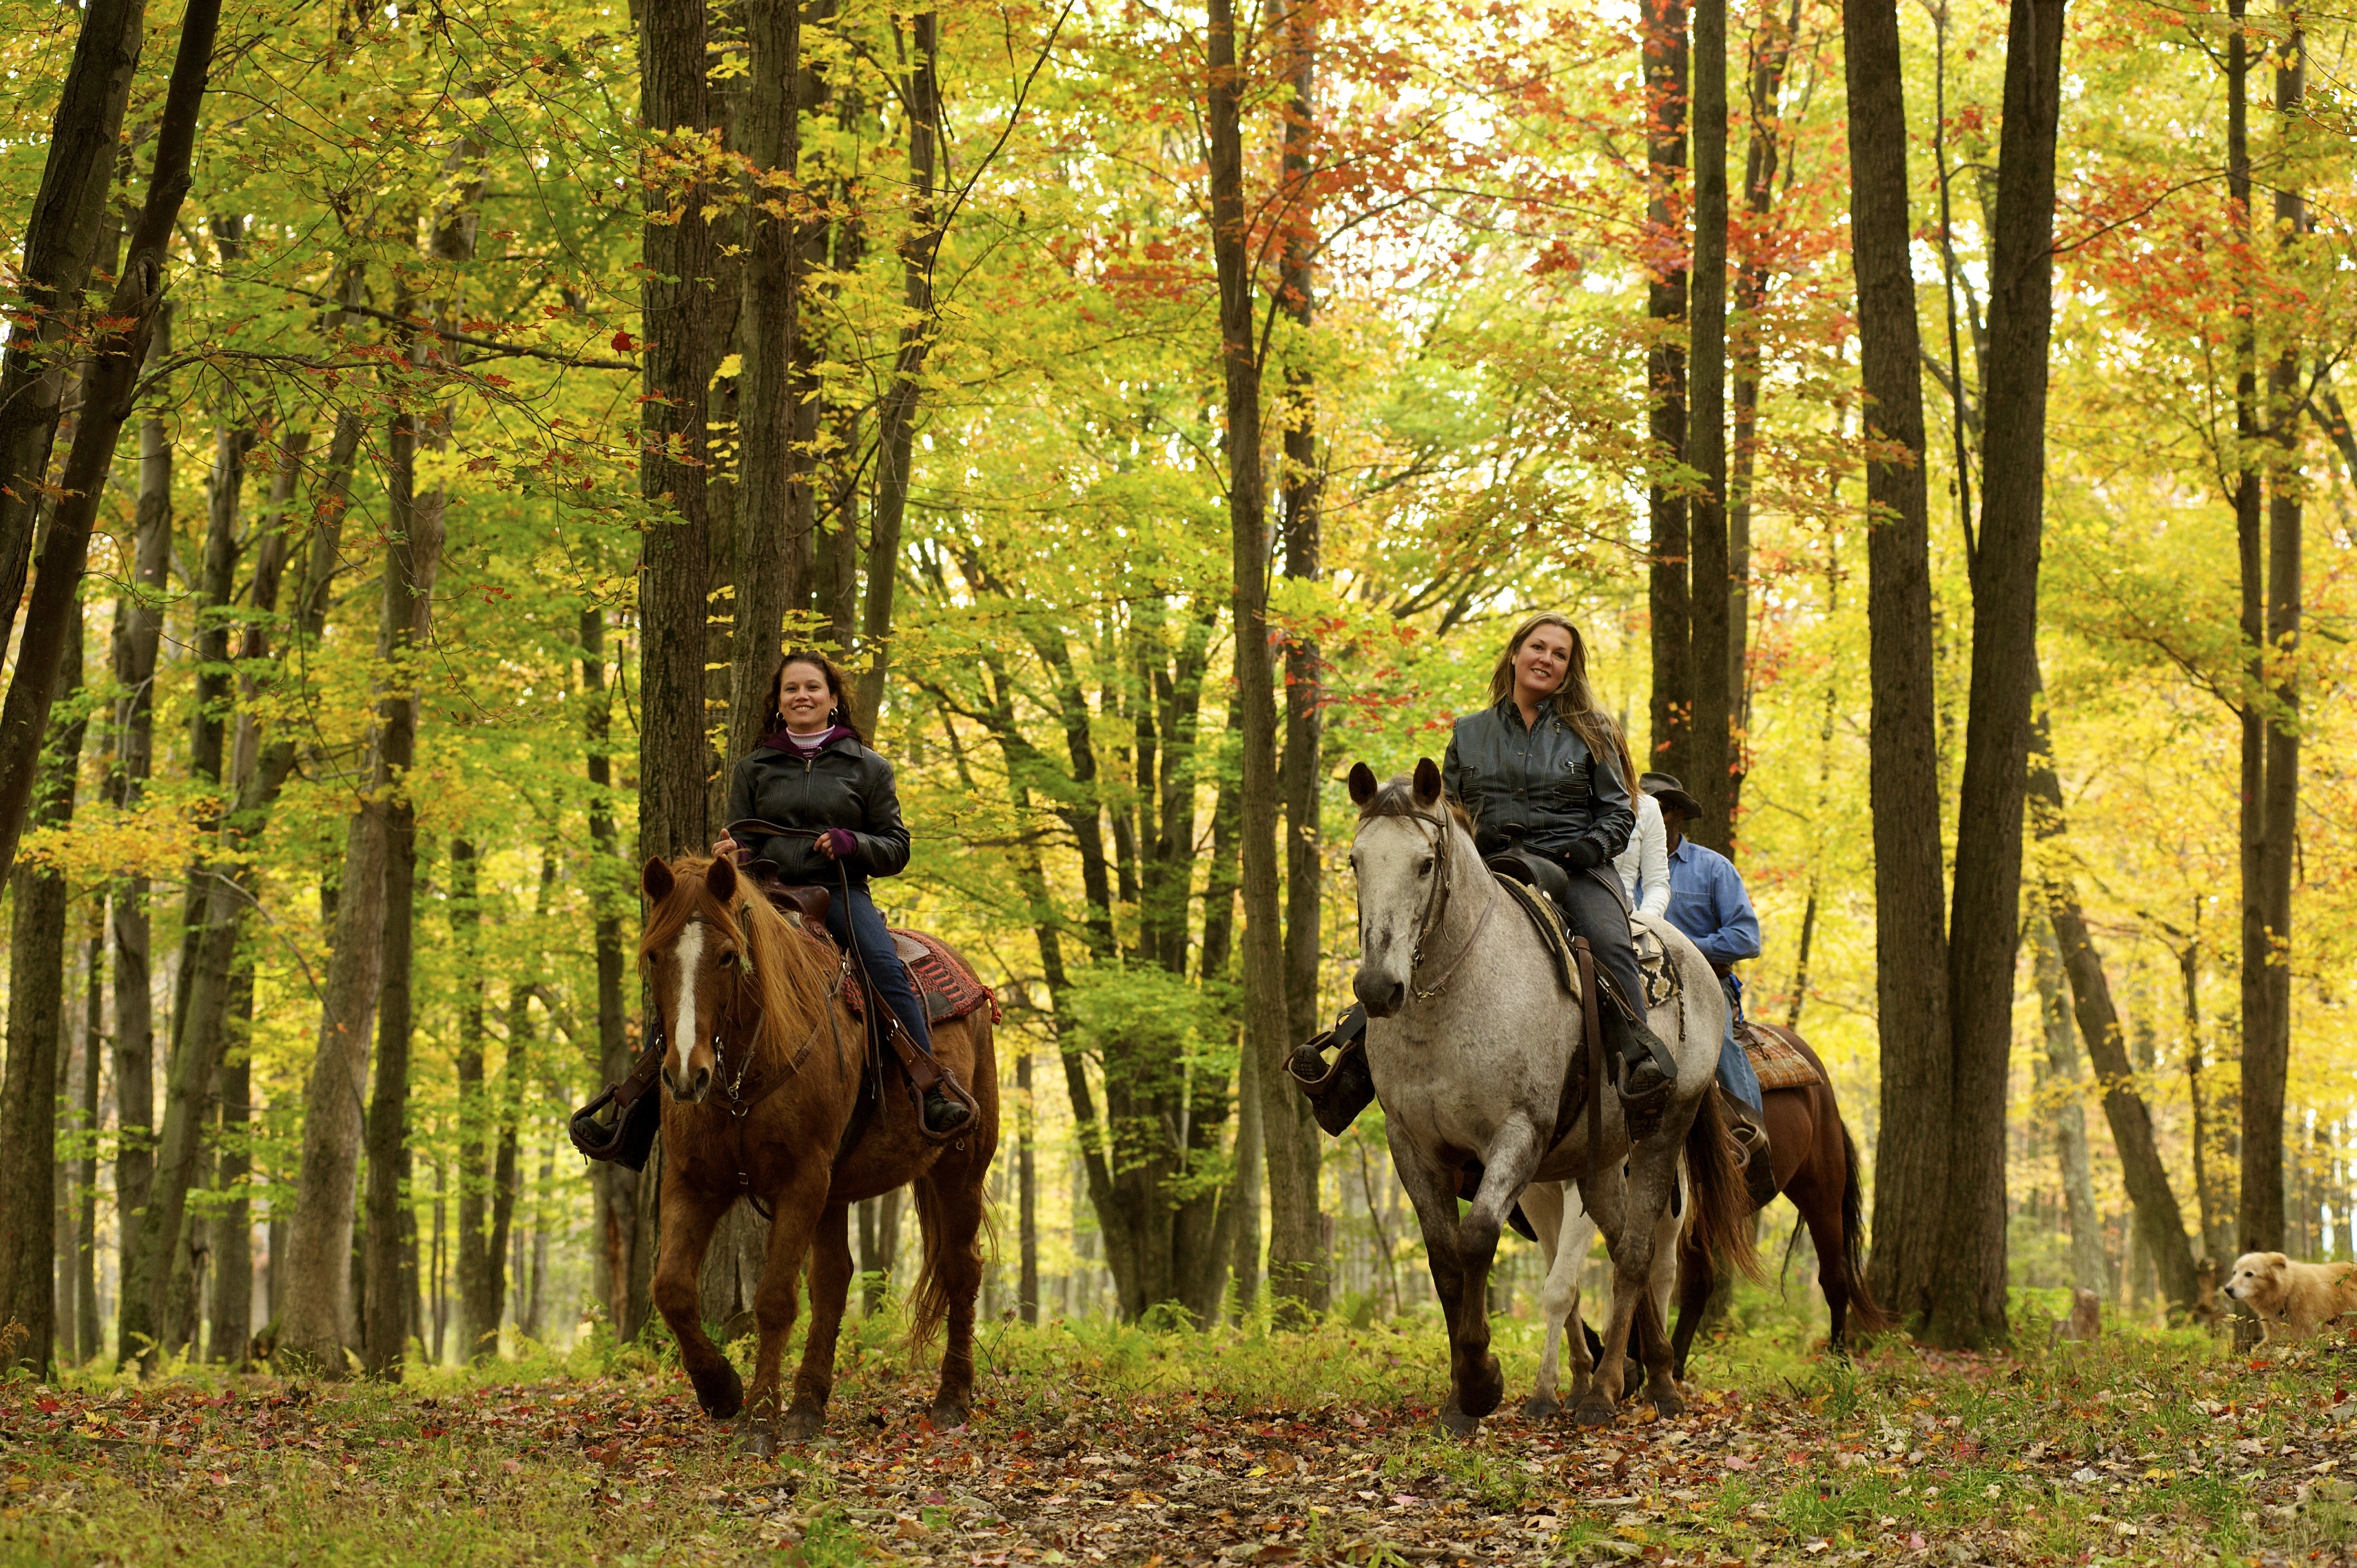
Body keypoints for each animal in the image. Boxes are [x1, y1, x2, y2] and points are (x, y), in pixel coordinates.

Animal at [636, 849, 995, 1452]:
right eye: (654, 955)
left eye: (728, 956)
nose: (686, 1075)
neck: (746, 1070)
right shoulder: (693, 1181)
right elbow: (672, 1289)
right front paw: (721, 1391)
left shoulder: (800, 1181)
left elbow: (775, 1300)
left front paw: (759, 1421)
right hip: (837, 1191)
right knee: (834, 1280)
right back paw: (807, 1407)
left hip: (960, 1165)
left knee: (960, 1269)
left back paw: (951, 1398)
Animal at [1348, 759, 1753, 1433]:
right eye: (1355, 860)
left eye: (1425, 864)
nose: (1379, 988)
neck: (1452, 999)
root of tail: (1690, 957)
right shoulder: (1412, 1144)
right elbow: (1443, 1256)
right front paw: (1460, 1399)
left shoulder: (1518, 1135)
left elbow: (1476, 1239)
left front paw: (1482, 1383)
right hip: (1597, 1159)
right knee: (1622, 1243)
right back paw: (1649, 1376)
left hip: (1662, 1131)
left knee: (1638, 1253)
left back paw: (1614, 1392)